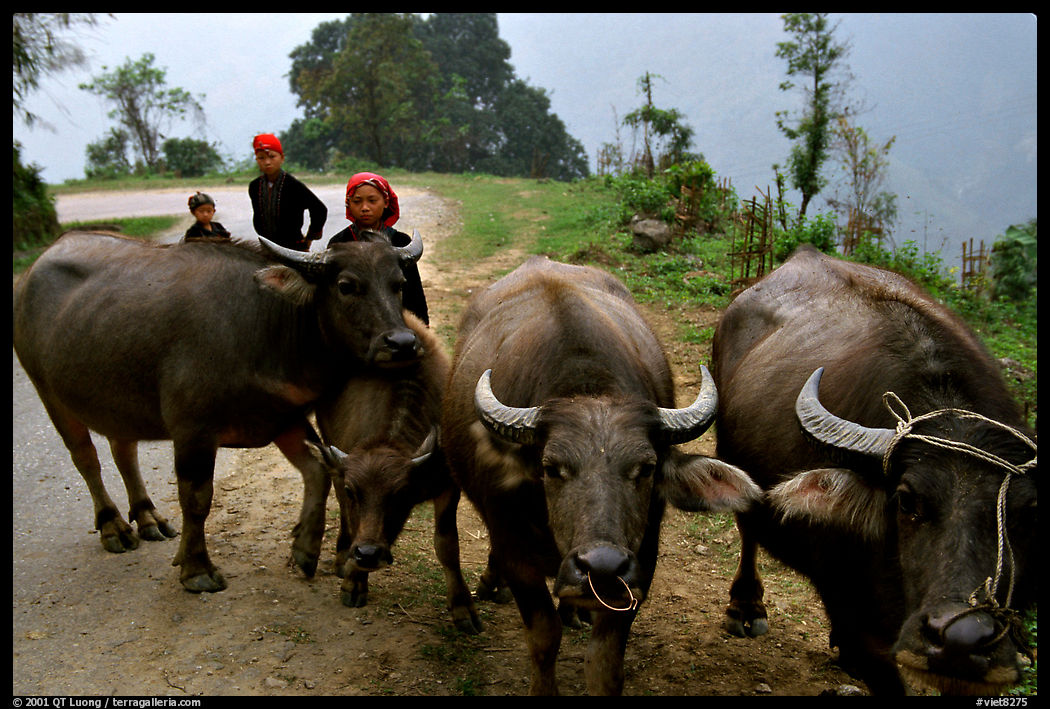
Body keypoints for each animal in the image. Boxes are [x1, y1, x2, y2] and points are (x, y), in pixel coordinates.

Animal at [13, 230, 424, 593]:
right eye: (346, 285)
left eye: (398, 283)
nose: (403, 343)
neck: (268, 327)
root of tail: (32, 271)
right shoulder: (192, 430)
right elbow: (196, 499)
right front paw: (196, 569)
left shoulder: (282, 418)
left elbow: (319, 471)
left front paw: (305, 548)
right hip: (49, 392)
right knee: (86, 458)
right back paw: (113, 525)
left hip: (117, 399)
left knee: (123, 450)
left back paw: (147, 517)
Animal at [315, 312, 482, 634]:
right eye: (355, 491)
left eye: (401, 493)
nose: (367, 554)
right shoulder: (345, 476)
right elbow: (353, 519)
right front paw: (354, 581)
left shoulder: (447, 486)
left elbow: (447, 545)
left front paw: (462, 606)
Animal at [442, 256, 761, 695]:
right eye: (551, 468)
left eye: (645, 469)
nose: (603, 566)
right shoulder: (515, 548)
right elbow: (544, 637)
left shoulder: (641, 563)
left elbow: (605, 662)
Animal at [711, 245, 1036, 695]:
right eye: (906, 502)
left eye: (1027, 514)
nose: (962, 638)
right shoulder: (856, 619)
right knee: (747, 527)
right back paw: (745, 607)